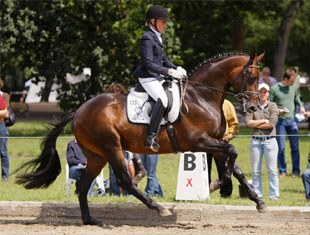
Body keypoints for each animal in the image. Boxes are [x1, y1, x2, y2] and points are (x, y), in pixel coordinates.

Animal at [15, 51, 266, 226]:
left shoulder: (214, 142)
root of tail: (78, 111)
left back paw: (90, 220)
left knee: (83, 184)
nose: (254, 107)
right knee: (125, 181)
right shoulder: (198, 142)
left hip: (96, 155)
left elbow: (236, 166)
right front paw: (216, 184)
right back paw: (158, 208)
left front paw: (259, 201)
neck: (201, 96)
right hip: (112, 148)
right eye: (251, 76)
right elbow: (232, 157)